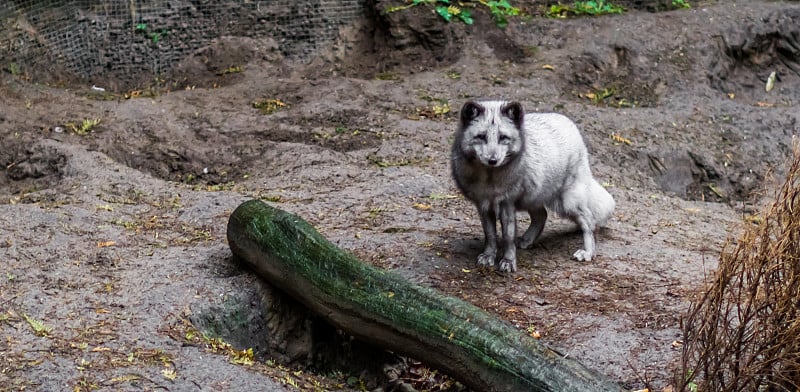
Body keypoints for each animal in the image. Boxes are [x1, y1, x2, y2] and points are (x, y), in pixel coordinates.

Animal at [454, 100, 616, 272]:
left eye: (503, 137)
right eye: (481, 137)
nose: (493, 160)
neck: (489, 179)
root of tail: (570, 123)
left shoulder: (507, 203)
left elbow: (508, 237)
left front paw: (508, 262)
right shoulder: (483, 204)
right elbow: (490, 234)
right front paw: (488, 256)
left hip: (567, 203)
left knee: (588, 221)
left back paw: (588, 252)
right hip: (532, 197)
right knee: (542, 215)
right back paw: (527, 240)